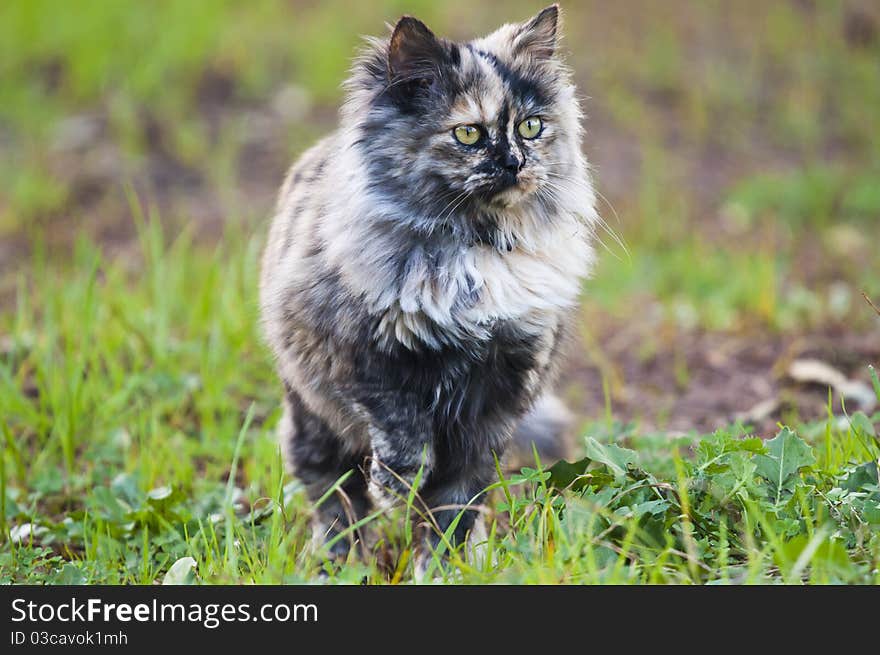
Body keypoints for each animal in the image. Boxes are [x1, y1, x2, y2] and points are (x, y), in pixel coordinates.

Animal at [256, 3, 600, 568]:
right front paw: (394, 489)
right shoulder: (367, 364)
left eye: (531, 127)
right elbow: (404, 443)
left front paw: (444, 567)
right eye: (468, 135)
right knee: (333, 499)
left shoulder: (496, 399)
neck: (477, 250)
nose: (515, 163)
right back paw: (340, 562)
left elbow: (453, 506)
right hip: (313, 420)